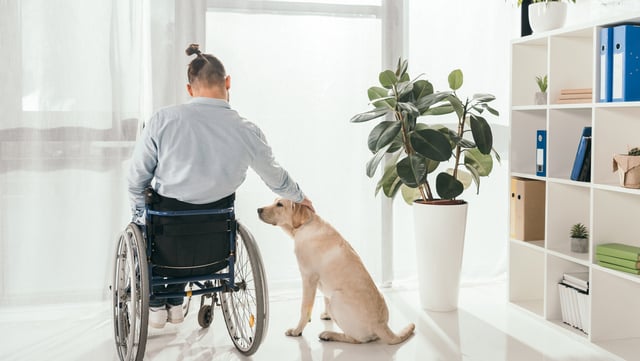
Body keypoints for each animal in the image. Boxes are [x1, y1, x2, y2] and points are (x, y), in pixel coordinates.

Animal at [258, 200, 416, 344]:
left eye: (279, 204)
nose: (258, 209)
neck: (305, 225)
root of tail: (381, 325)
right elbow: (324, 298)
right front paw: (326, 315)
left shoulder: (308, 277)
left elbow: (304, 308)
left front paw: (297, 331)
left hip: (337, 298)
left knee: (356, 339)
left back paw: (329, 334)